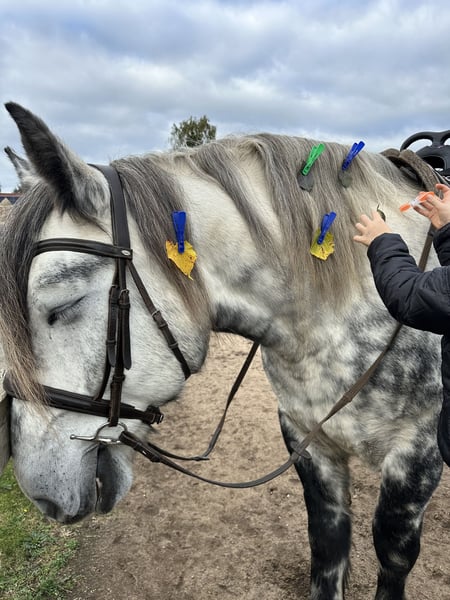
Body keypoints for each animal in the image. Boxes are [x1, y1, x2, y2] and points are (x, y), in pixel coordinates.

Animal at [0, 102, 445, 600]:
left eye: (62, 306)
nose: (41, 494)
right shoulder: (308, 438)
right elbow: (328, 543)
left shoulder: (417, 453)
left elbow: (392, 552)